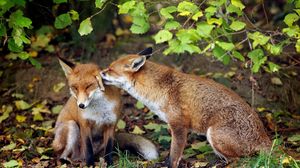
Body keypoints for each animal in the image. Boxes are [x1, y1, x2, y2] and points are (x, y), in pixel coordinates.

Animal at [101, 48, 272, 167]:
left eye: (110, 69)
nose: (100, 72)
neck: (160, 89)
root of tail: (264, 137)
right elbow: (171, 154)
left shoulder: (179, 126)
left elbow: (174, 156)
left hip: (213, 134)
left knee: (238, 160)